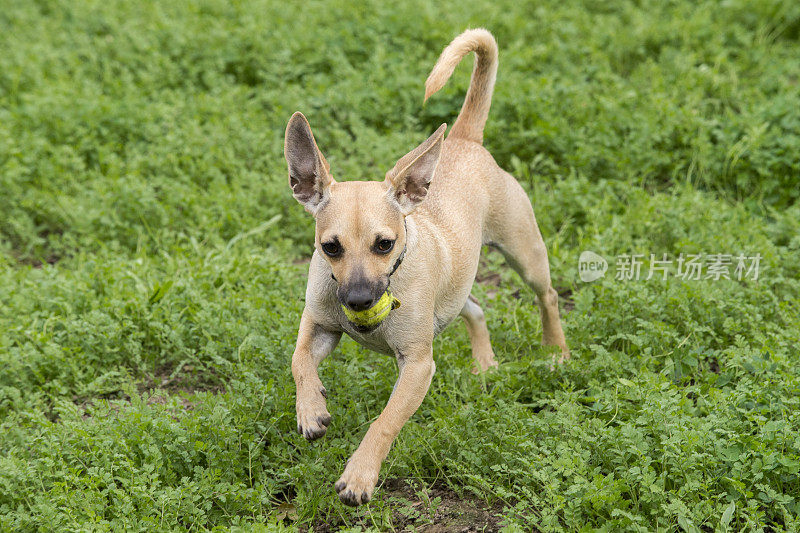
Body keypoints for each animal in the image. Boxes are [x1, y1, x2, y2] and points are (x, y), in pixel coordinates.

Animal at [284, 29, 564, 508]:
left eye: (385, 244)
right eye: (329, 248)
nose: (359, 300)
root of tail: (466, 139)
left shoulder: (416, 367)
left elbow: (384, 422)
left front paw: (360, 475)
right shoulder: (319, 325)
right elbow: (299, 360)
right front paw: (311, 410)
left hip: (524, 253)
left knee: (548, 296)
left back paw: (556, 351)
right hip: (456, 292)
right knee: (476, 309)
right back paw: (485, 365)